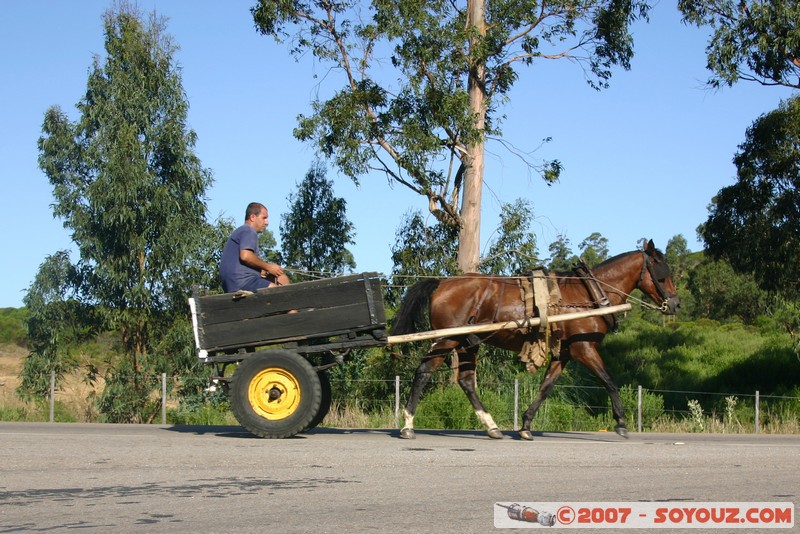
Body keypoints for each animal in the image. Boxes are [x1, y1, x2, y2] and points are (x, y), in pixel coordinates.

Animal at [391, 239, 680, 440]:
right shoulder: (584, 348)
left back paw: (492, 427)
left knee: (466, 381)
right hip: (447, 339)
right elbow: (609, 381)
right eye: (662, 273)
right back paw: (408, 425)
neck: (590, 294)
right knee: (424, 372)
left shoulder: (565, 352)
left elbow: (546, 387)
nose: (676, 304)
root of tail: (442, 283)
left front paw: (526, 425)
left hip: (467, 343)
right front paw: (620, 423)